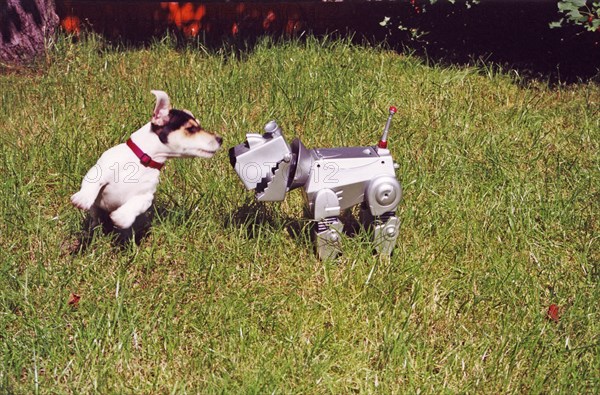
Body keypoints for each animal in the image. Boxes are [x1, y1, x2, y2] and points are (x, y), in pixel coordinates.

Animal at [72, 90, 223, 230]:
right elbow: (94, 181)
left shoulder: (146, 196)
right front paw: (83, 198)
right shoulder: (101, 169)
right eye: (191, 128)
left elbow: (136, 204)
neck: (143, 162)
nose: (220, 139)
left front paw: (122, 217)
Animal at [230, 107, 404, 260]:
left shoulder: (326, 199)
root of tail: (384, 153)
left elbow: (330, 232)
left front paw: (327, 261)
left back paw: (383, 254)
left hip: (381, 190)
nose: (231, 153)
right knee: (369, 214)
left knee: (385, 221)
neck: (307, 168)